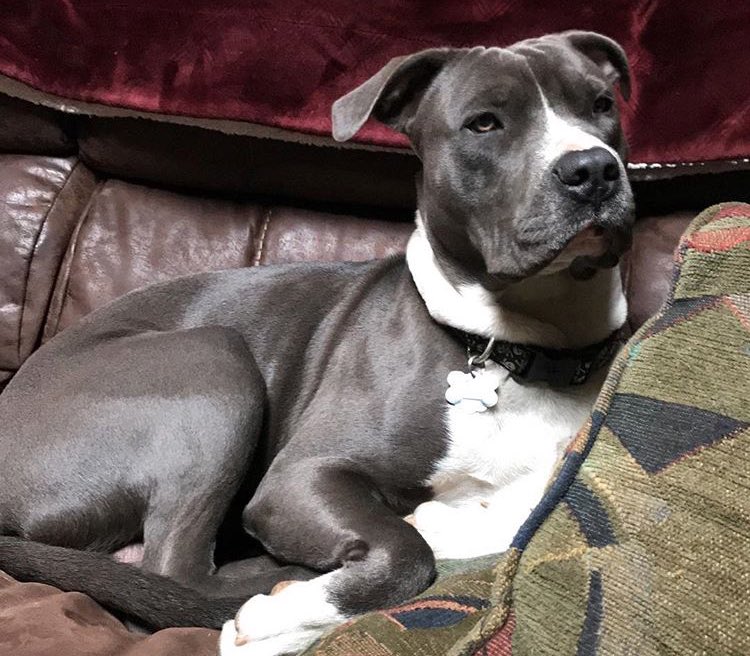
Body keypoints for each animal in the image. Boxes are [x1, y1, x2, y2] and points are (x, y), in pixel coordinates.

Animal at [0, 30, 633, 656]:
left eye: (602, 105)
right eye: (484, 123)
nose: (593, 169)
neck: (518, 348)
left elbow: (517, 513)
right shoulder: (300, 477)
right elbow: (407, 553)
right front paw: (286, 618)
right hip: (214, 361)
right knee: (173, 569)